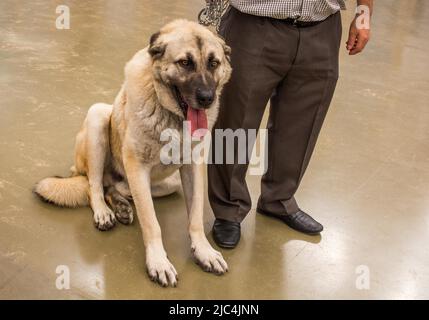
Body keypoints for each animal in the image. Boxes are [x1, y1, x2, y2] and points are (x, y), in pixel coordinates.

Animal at [34, 20, 231, 286]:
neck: (171, 115)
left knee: (113, 187)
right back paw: (104, 212)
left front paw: (203, 251)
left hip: (167, 183)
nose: (207, 98)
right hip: (98, 116)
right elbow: (151, 222)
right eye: (184, 62)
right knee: (93, 186)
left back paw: (121, 206)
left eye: (213, 63)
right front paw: (158, 262)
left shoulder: (193, 168)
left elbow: (196, 217)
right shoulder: (138, 167)